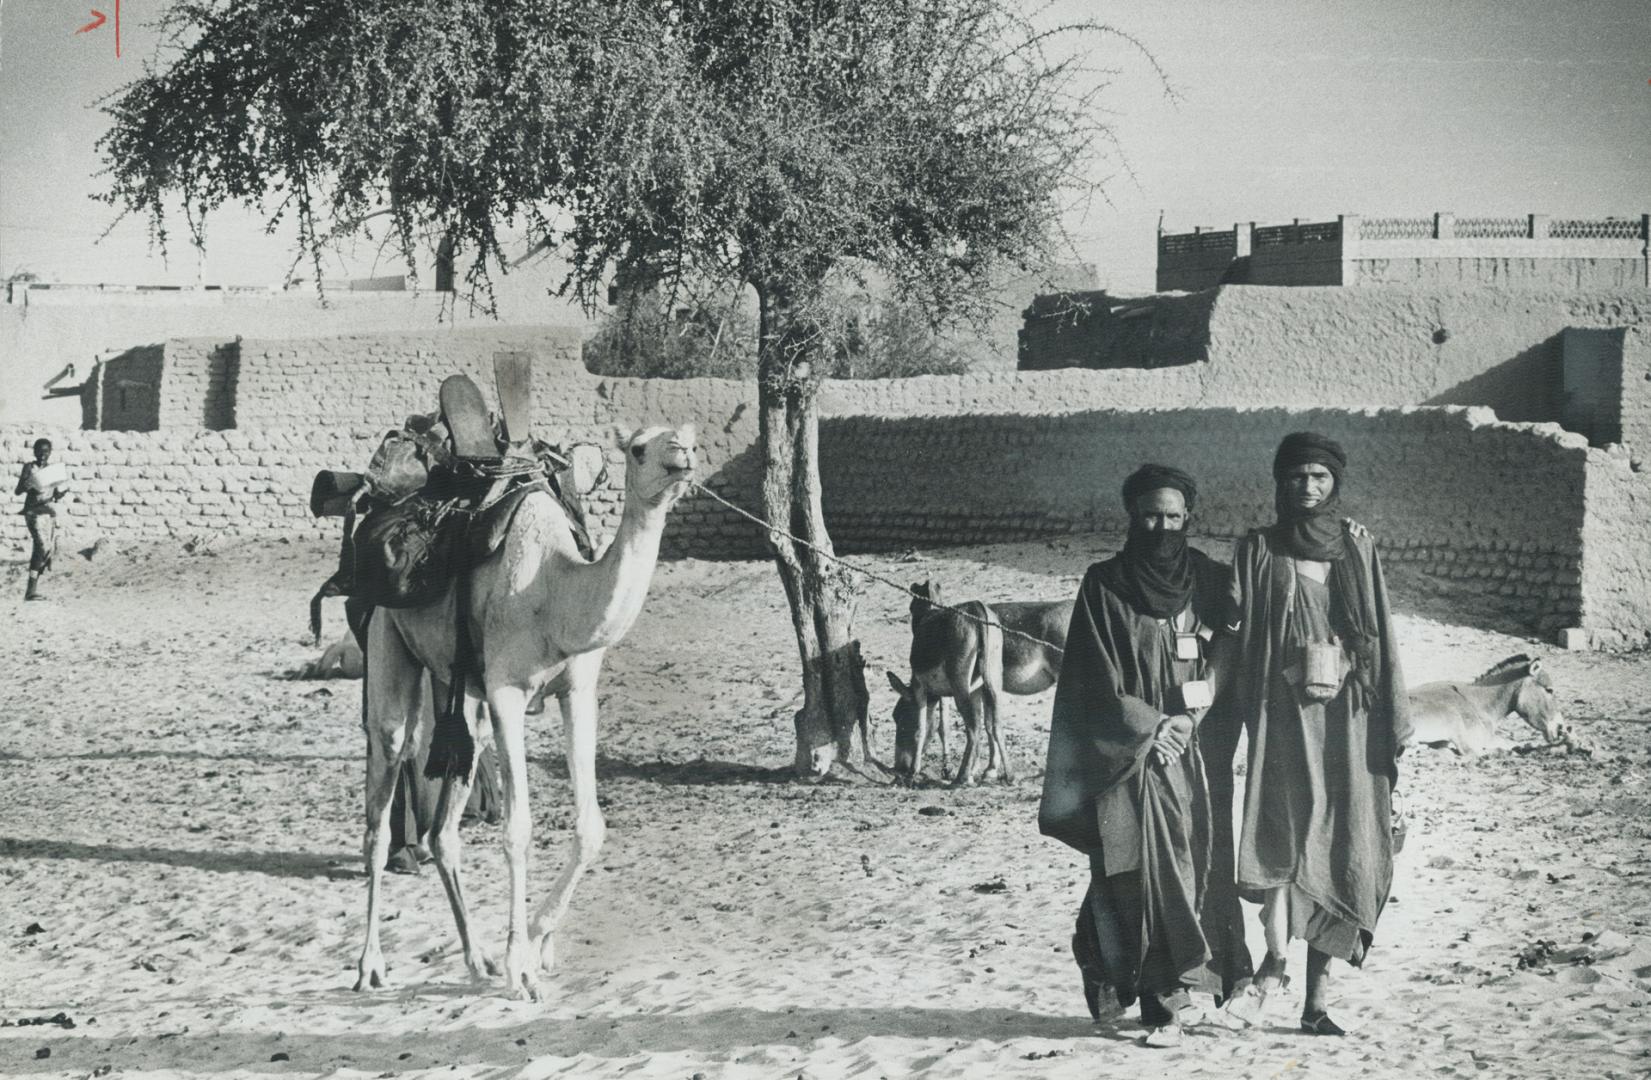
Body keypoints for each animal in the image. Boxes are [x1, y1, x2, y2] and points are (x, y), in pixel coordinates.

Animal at [354, 426, 696, 1004]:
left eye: (686, 435)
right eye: (638, 448)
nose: (683, 453)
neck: (554, 592)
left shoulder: (577, 690)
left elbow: (591, 827)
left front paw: (538, 943)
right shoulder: (507, 691)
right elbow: (517, 828)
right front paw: (521, 967)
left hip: (460, 695)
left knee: (445, 827)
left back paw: (477, 960)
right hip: (387, 638)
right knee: (384, 792)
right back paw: (371, 966)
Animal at [891, 584, 1069, 786]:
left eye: (899, 717)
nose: (899, 767)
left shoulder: (930, 687)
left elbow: (933, 727)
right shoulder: (981, 688)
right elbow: (989, 724)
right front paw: (985, 769)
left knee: (973, 726)